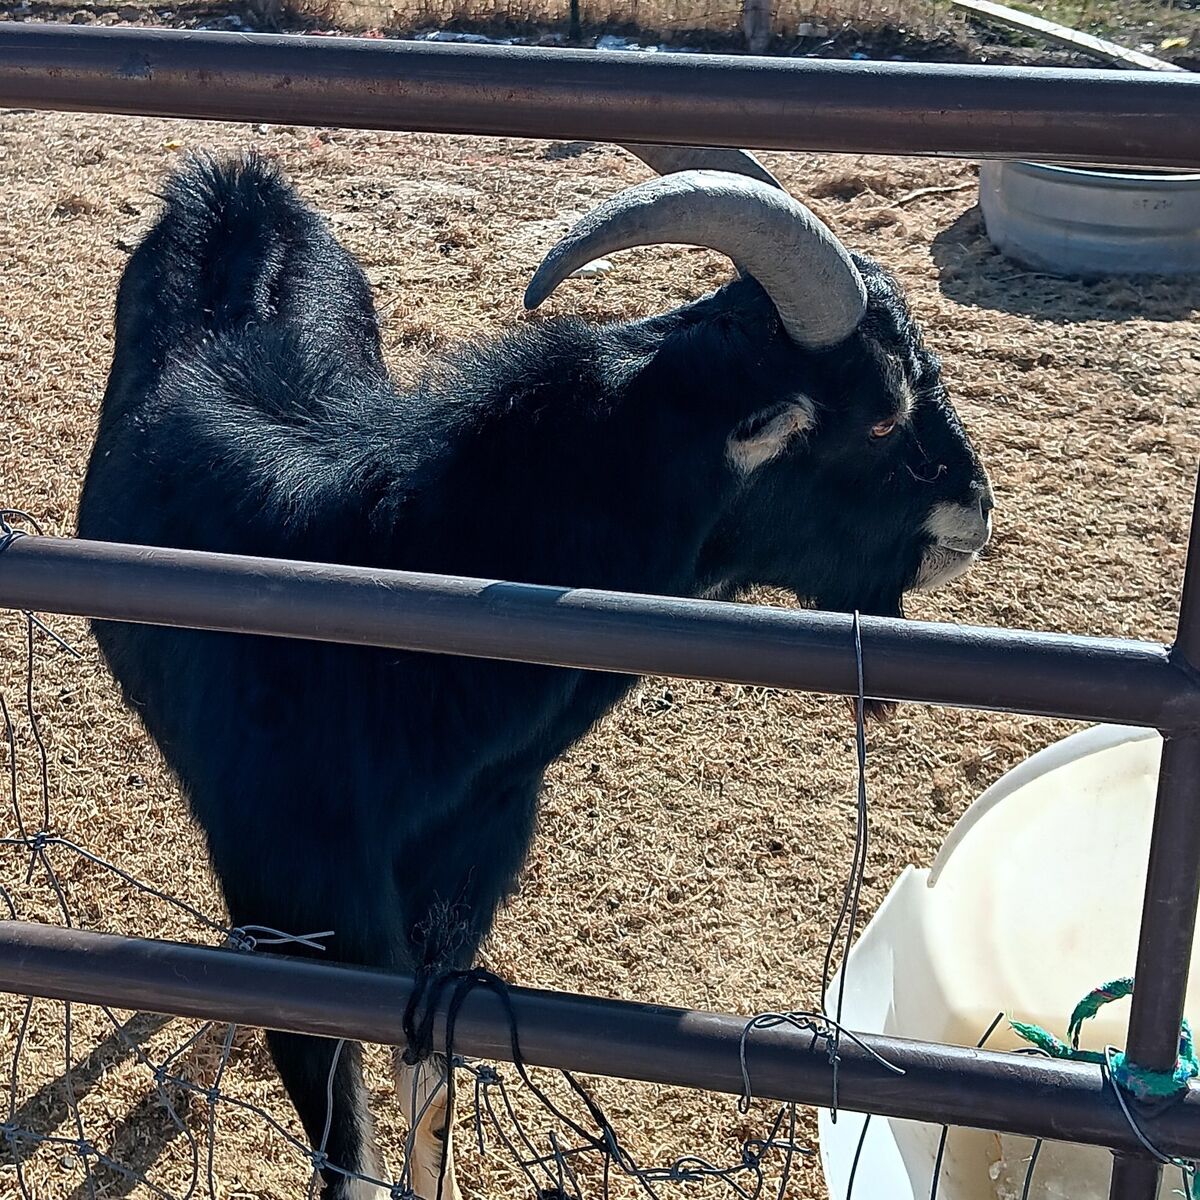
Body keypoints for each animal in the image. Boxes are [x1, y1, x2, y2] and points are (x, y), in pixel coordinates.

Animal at [77, 151, 993, 1200]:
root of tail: (236, 182)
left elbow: (429, 1090)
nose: (979, 510)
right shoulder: (290, 902)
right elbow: (346, 1147)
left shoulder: (458, 885)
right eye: (883, 421)